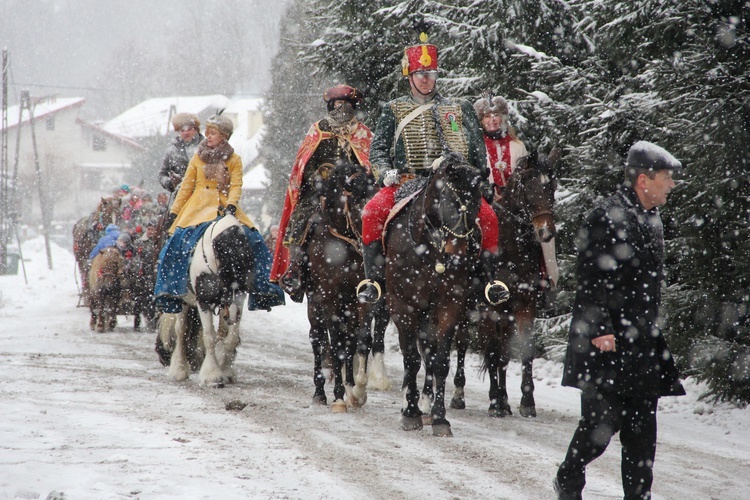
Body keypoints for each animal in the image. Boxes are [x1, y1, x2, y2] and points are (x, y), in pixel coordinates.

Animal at [162, 216, 256, 386]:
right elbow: (209, 337)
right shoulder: (204, 302)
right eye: (225, 270)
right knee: (181, 330)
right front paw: (212, 375)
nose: (232, 315)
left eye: (245, 269)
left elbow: (231, 338)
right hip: (183, 301)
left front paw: (225, 368)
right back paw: (179, 369)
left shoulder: (239, 300)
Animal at [304, 159, 378, 410]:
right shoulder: (329, 298)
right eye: (357, 200)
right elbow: (335, 343)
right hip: (314, 304)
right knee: (318, 338)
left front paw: (357, 391)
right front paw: (337, 397)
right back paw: (319, 393)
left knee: (350, 340)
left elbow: (362, 340)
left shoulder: (362, 299)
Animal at [384, 153, 490, 438]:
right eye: (449, 201)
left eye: (477, 202)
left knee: (429, 353)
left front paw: (439, 417)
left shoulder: (449, 306)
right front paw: (410, 414)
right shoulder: (404, 306)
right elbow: (411, 360)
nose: (459, 251)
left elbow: (440, 360)